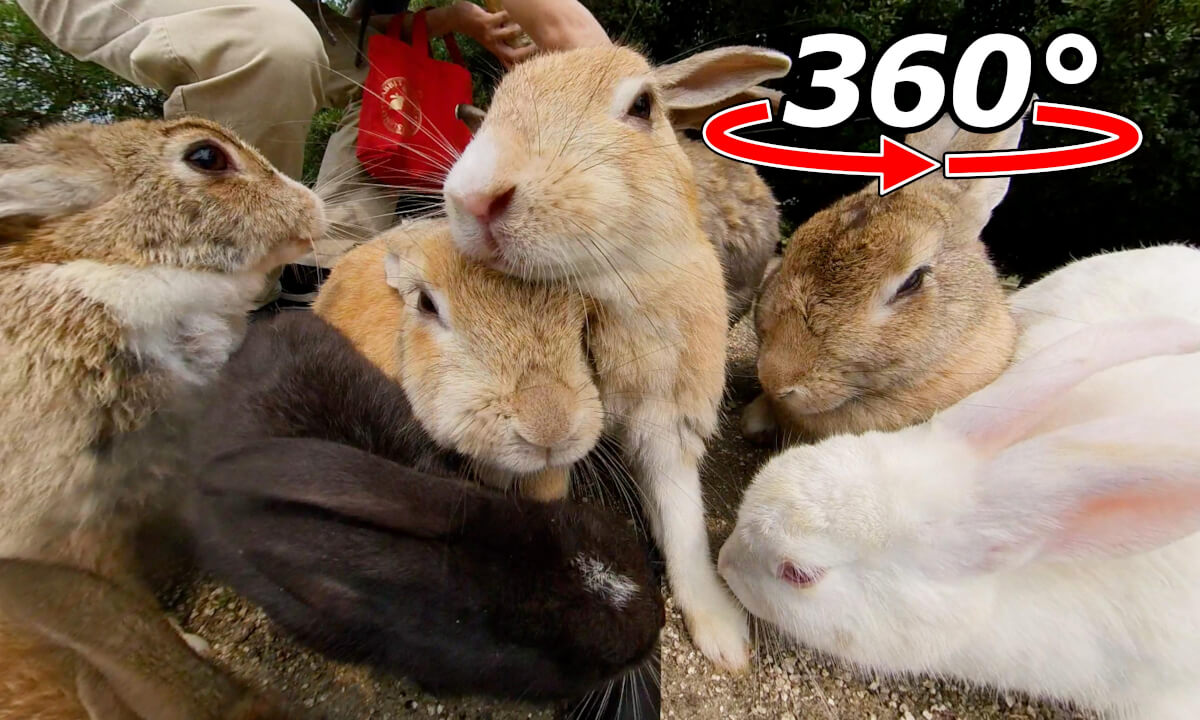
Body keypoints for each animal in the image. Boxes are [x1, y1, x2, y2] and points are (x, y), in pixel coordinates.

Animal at [440, 44, 793, 671]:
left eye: (642, 105)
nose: (473, 197)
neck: (595, 294)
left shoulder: (669, 416)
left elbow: (682, 520)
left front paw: (722, 633)